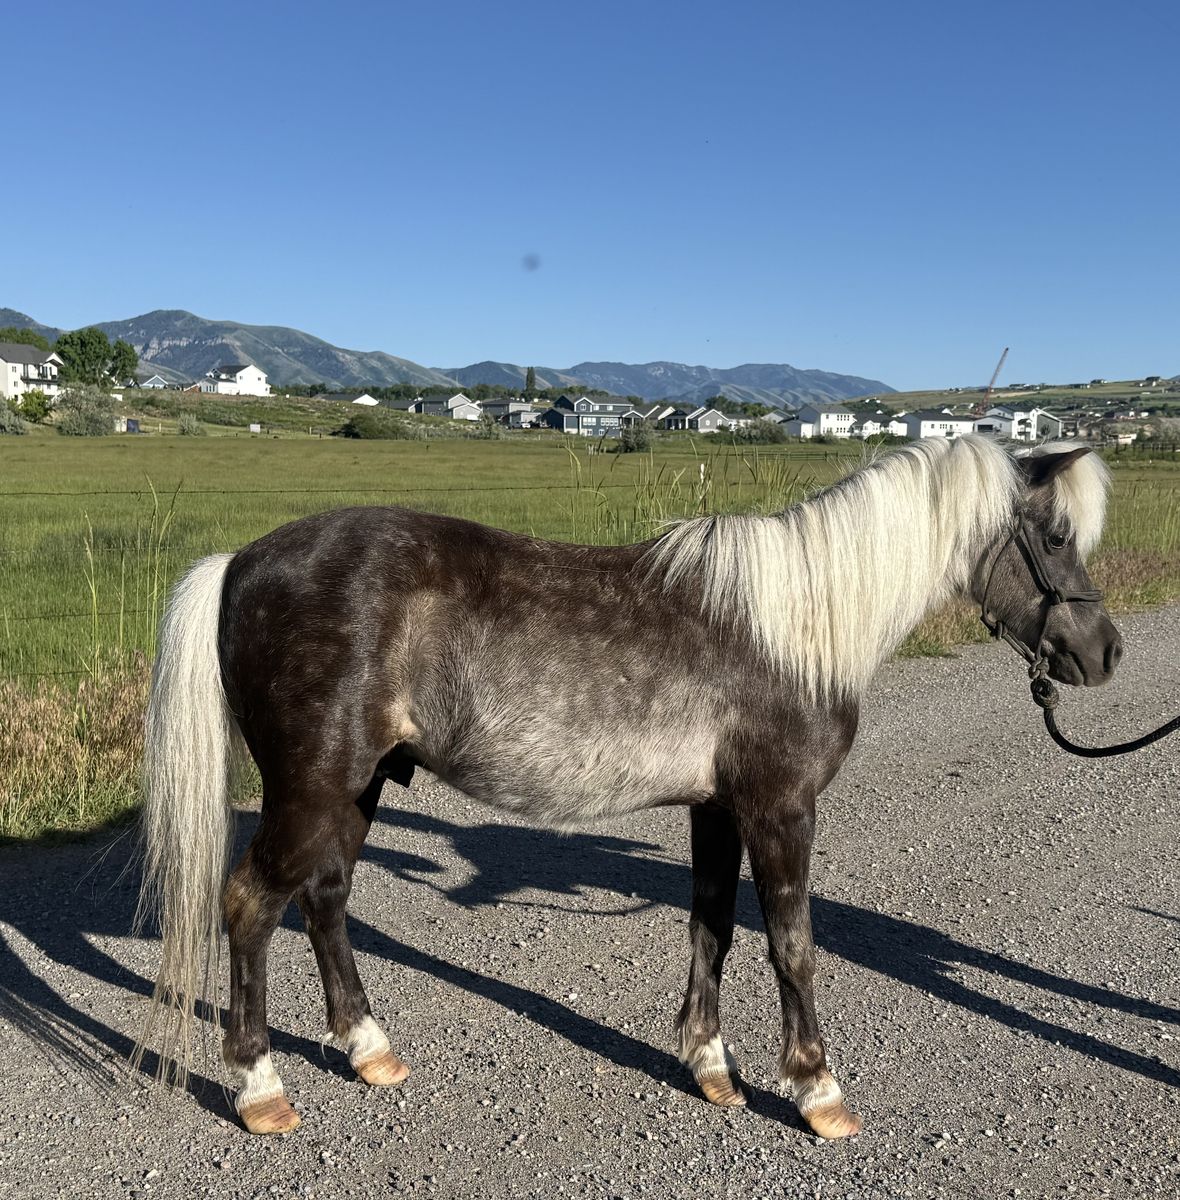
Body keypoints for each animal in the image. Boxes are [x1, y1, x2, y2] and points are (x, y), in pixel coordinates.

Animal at [133, 435, 1122, 1139]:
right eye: (1056, 536)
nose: (1104, 652)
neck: (797, 623)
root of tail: (239, 562)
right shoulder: (781, 810)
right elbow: (792, 946)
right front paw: (817, 1090)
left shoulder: (718, 810)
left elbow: (712, 926)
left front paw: (710, 1067)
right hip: (312, 789)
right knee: (250, 905)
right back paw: (261, 1087)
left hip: (355, 788)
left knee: (326, 898)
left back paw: (370, 1050)